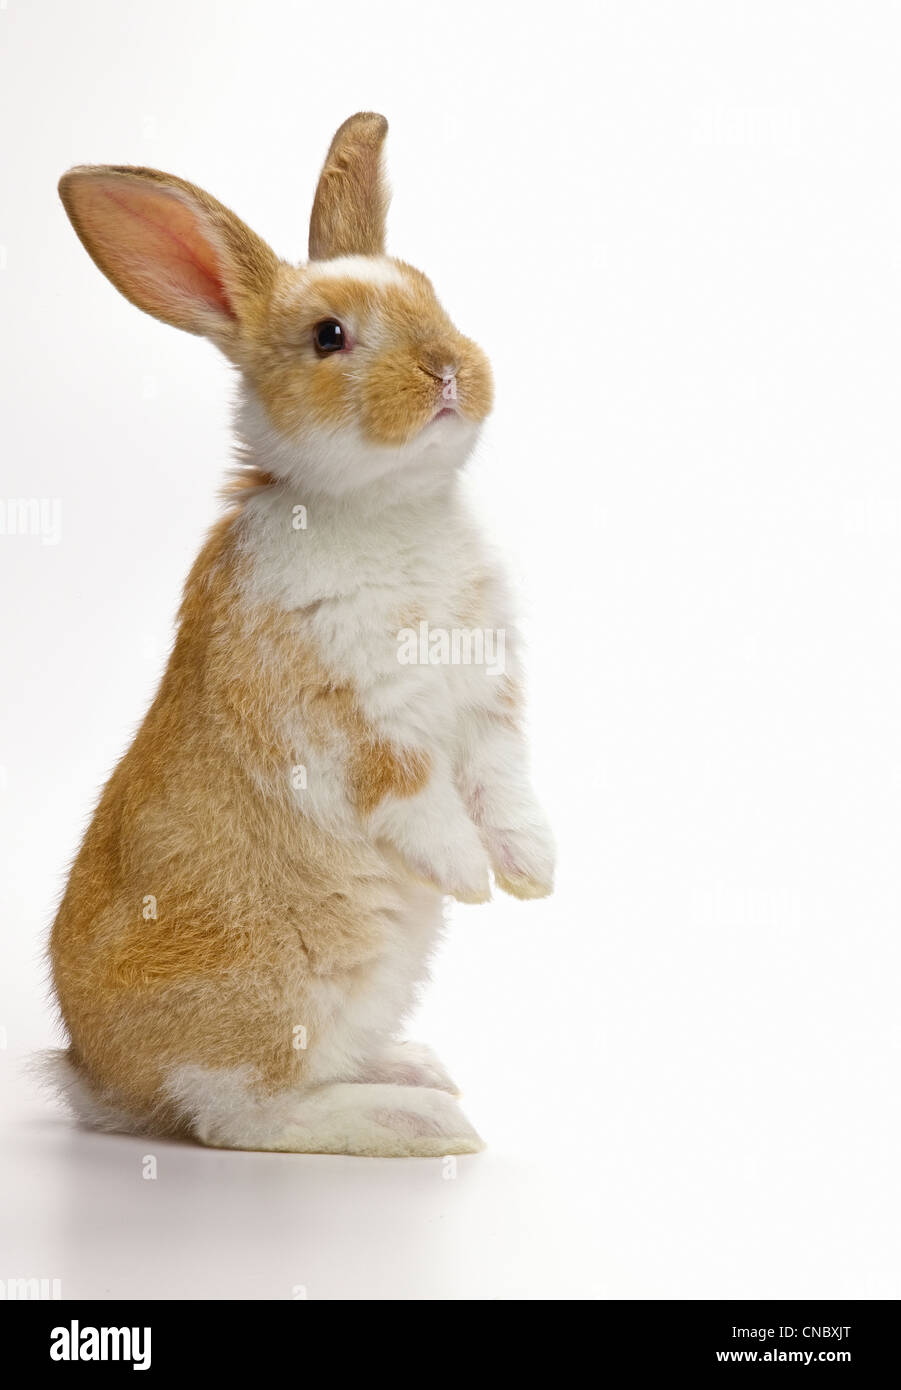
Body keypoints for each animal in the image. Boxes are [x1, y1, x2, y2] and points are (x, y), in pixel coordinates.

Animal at [43, 113, 556, 1156]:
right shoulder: (336, 710)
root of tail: (98, 1080)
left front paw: (532, 873)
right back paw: (421, 1120)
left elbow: (504, 782)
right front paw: (468, 876)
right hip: (280, 992)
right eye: (328, 337)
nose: (448, 369)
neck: (387, 507)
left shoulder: (487, 703)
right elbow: (408, 788)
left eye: (430, 290)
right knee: (246, 1114)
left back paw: (416, 1069)